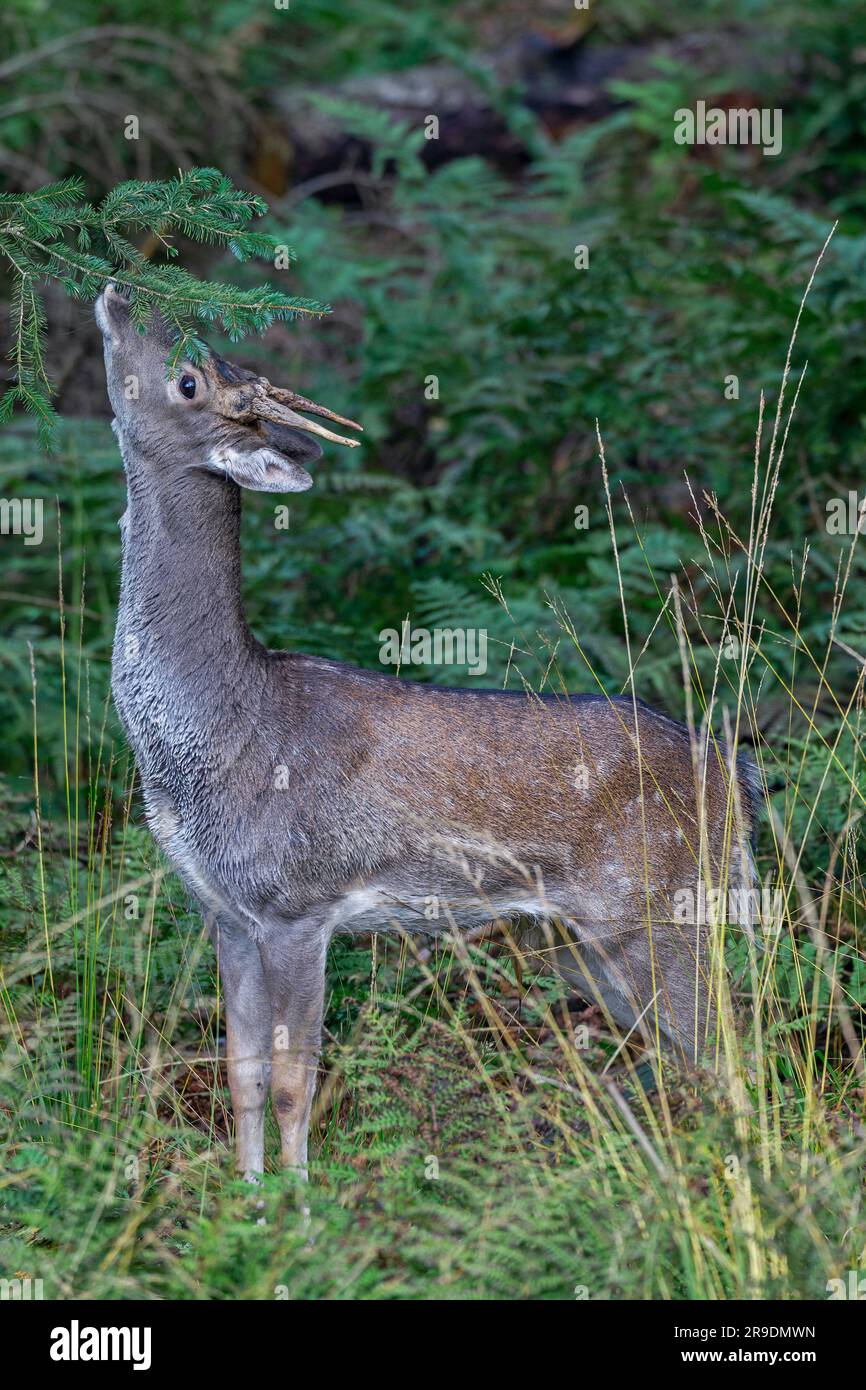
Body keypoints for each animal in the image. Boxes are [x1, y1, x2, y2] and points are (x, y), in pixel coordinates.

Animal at [96, 283, 758, 1184]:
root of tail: (735, 777)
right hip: (579, 940)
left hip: (663, 909)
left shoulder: (299, 901)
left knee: (733, 1054)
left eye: (189, 378)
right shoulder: (225, 912)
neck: (217, 728)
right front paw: (250, 1196)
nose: (120, 291)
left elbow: (295, 1081)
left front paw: (299, 1205)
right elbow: (242, 1075)